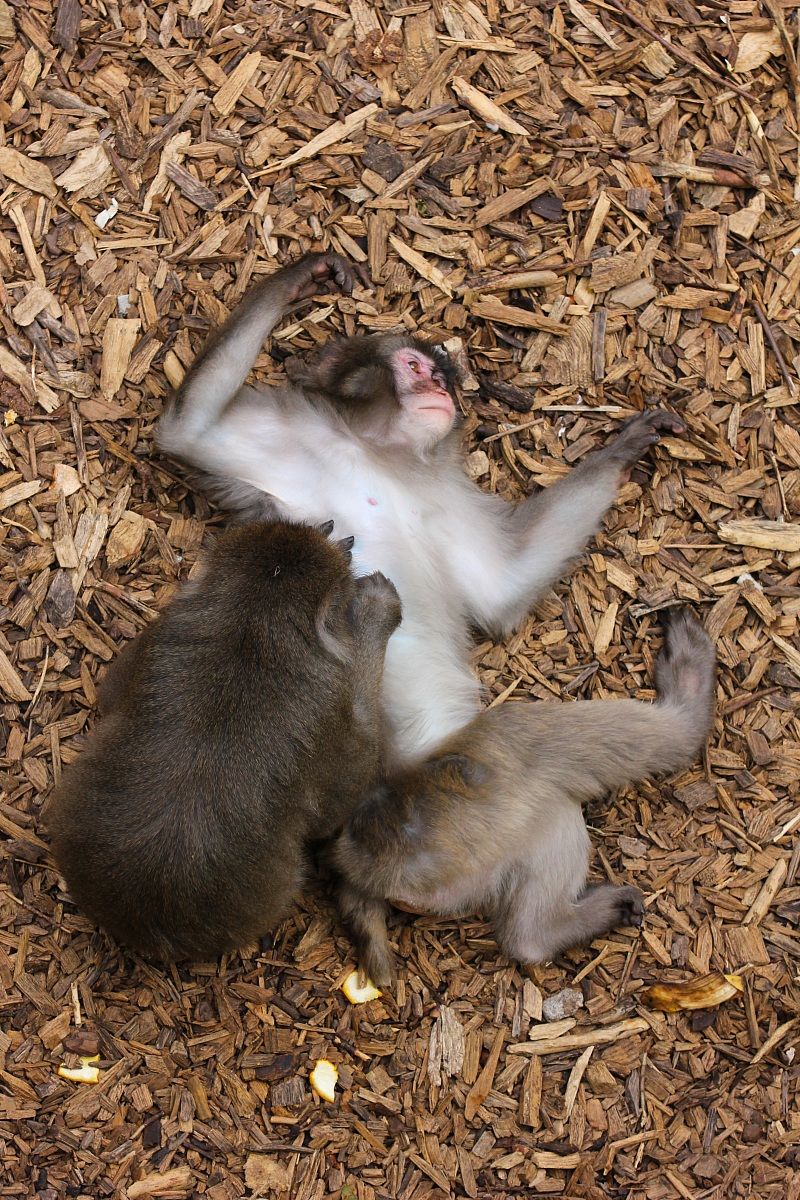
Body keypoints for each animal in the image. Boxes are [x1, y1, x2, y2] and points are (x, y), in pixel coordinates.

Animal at [45, 521, 401, 961]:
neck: (256, 621)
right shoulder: (329, 714)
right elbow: (345, 792)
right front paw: (372, 612)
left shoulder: (158, 635)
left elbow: (110, 692)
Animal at [157, 251, 687, 766]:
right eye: (414, 368)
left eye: (440, 379)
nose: (439, 392)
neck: (379, 455)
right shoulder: (299, 435)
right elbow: (189, 431)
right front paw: (300, 277)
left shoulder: (447, 497)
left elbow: (503, 587)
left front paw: (624, 450)